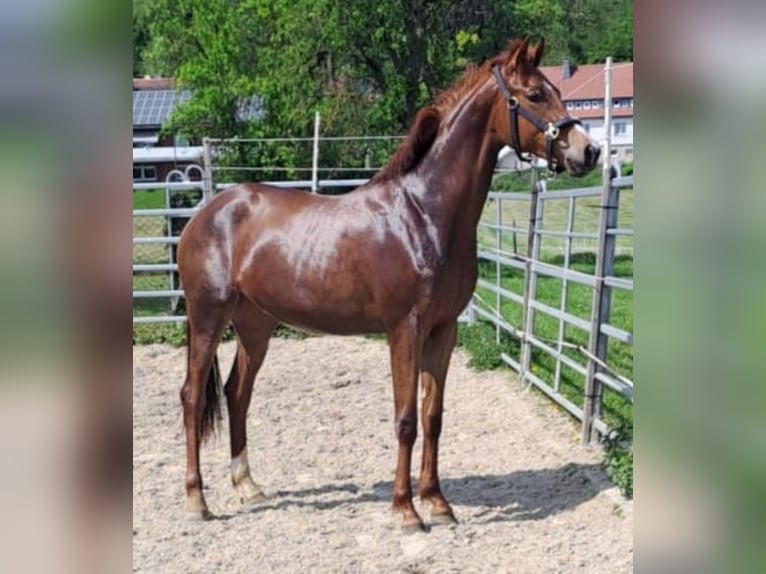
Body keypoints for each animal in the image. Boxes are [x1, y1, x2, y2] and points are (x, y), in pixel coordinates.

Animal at [178, 39, 600, 532]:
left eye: (557, 91)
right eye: (534, 95)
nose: (589, 151)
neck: (423, 214)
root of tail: (204, 215)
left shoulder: (443, 330)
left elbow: (433, 416)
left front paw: (438, 502)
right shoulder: (404, 329)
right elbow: (405, 419)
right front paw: (406, 509)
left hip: (255, 325)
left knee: (236, 394)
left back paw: (248, 486)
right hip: (208, 318)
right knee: (192, 398)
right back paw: (197, 501)